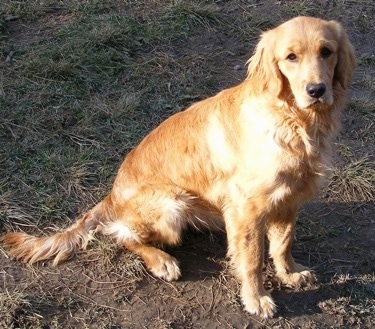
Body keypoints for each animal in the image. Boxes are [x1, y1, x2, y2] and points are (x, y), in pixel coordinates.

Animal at [2, 16, 356, 316]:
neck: (294, 120)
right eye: (290, 57)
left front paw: (291, 274)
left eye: (326, 52)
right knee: (121, 234)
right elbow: (252, 259)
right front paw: (256, 299)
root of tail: (111, 194)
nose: (316, 90)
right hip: (172, 204)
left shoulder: (288, 200)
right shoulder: (248, 208)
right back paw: (162, 261)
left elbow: (282, 245)